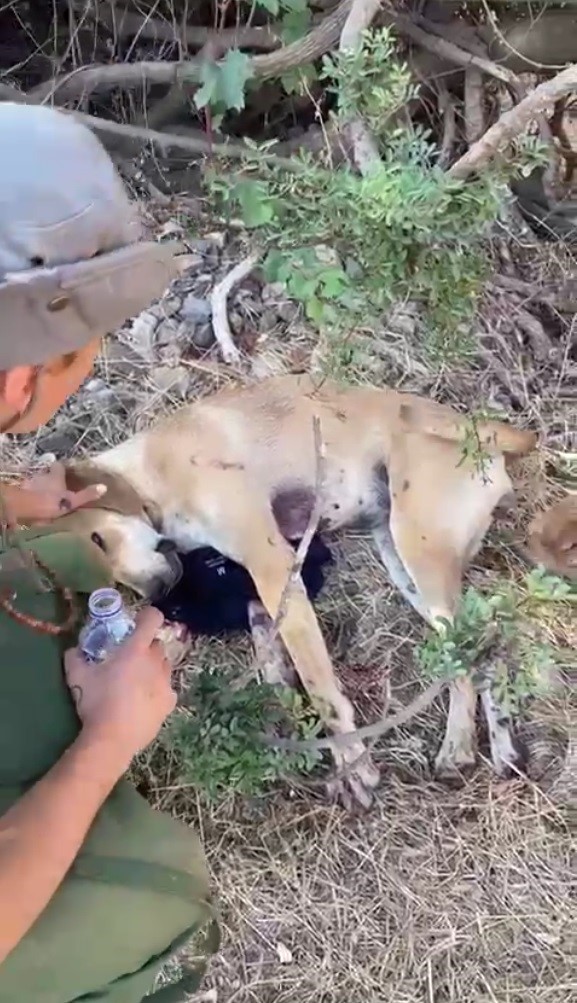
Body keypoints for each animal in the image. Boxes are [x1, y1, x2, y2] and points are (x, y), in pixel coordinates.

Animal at [57, 373, 537, 802]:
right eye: (108, 582)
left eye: (99, 540)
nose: (158, 596)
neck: (152, 473)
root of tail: (479, 431)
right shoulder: (256, 587)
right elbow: (272, 658)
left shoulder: (271, 566)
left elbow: (319, 682)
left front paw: (351, 763)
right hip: (402, 560)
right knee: (485, 643)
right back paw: (499, 744)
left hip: (418, 549)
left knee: (472, 648)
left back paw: (458, 744)